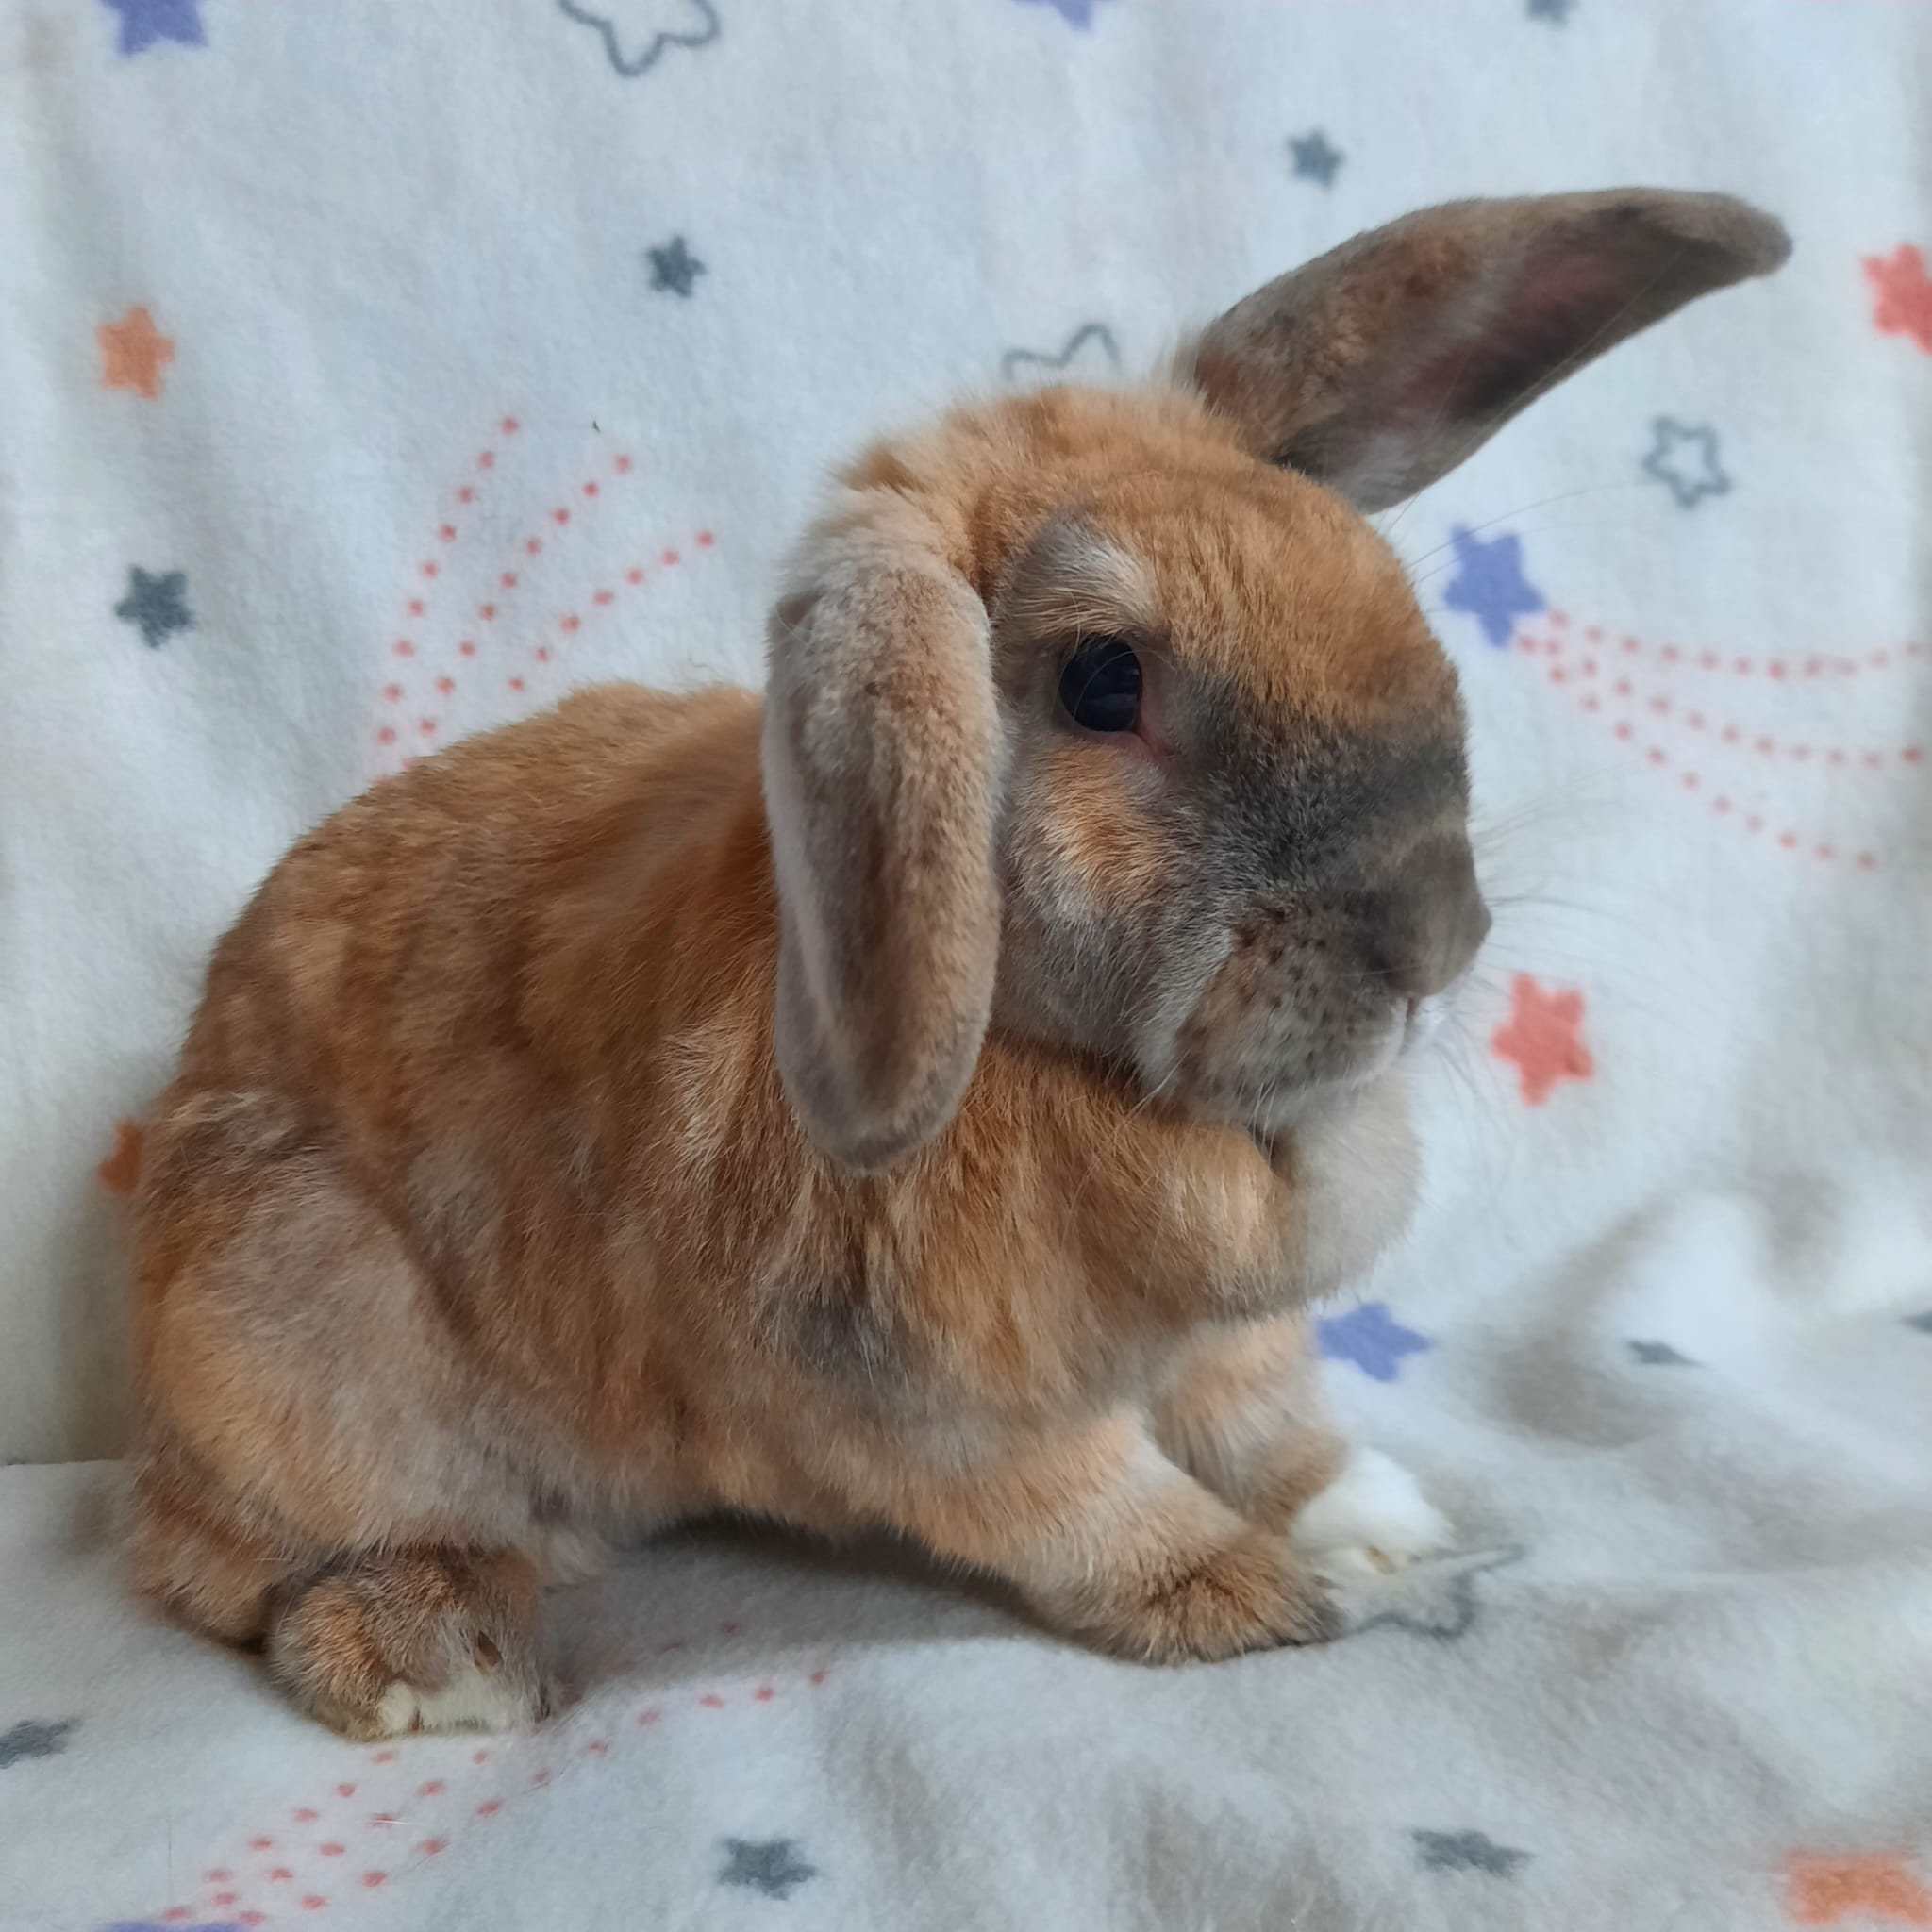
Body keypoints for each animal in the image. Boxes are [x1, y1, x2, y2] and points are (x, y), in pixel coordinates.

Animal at [126, 190, 1789, 1739]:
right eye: (1105, 682)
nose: (1437, 942)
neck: (1061, 1060)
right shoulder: (934, 1415)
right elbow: (1093, 1504)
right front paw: (1251, 1598)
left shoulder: (1231, 1347)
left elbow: (1272, 1428)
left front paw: (1382, 1528)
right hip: (305, 1342)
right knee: (233, 1571)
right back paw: (439, 1650)